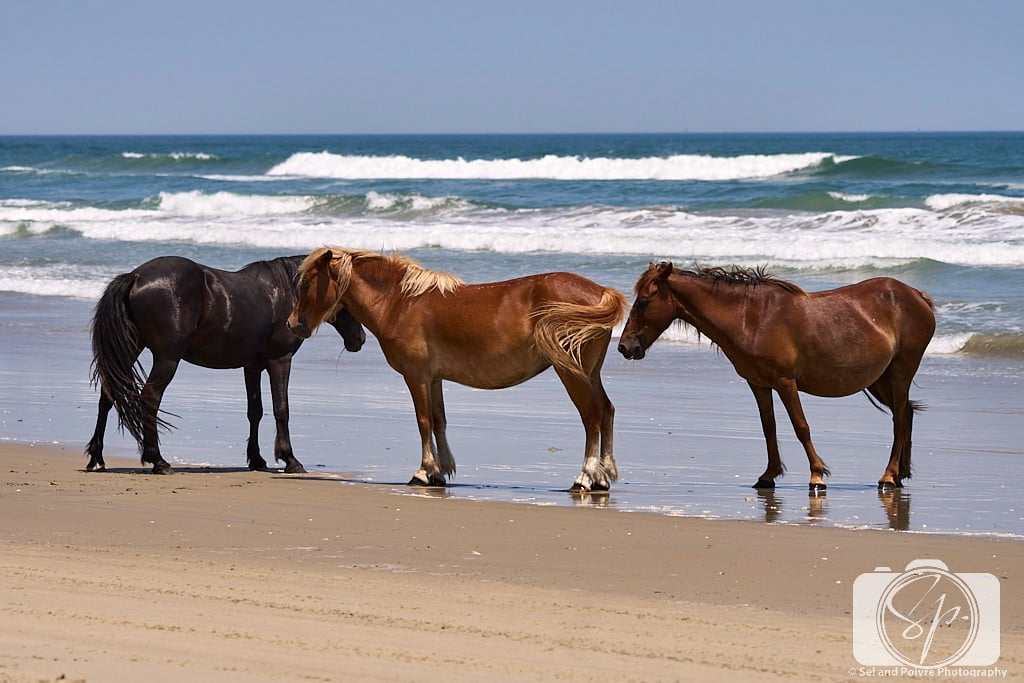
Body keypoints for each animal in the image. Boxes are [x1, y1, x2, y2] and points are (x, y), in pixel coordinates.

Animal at [86, 255, 365, 475]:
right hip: (167, 358)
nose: (360, 339)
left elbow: (255, 411)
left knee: (108, 395)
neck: (286, 293)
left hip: (129, 348)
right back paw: (158, 460)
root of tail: (135, 276)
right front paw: (290, 459)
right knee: (150, 398)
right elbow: (281, 409)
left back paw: (97, 459)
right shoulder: (280, 360)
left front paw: (257, 459)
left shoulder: (252, 367)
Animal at [287, 248, 627, 491]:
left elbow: (423, 420)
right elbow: (439, 420)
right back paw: (603, 476)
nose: (291, 324)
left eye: (307, 283)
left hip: (572, 373)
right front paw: (442, 470)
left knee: (592, 416)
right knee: (607, 411)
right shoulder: (434, 378)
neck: (400, 303)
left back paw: (585, 476)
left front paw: (424, 471)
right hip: (590, 373)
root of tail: (600, 292)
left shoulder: (417, 376)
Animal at [618, 262, 935, 492]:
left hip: (900, 373)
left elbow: (801, 427)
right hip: (880, 380)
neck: (752, 318)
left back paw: (888, 476)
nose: (625, 347)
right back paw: (899, 476)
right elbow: (768, 428)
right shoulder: (759, 384)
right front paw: (768, 476)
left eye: (644, 301)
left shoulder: (785, 382)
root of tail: (917, 296)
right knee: (905, 415)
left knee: (900, 420)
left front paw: (817, 476)